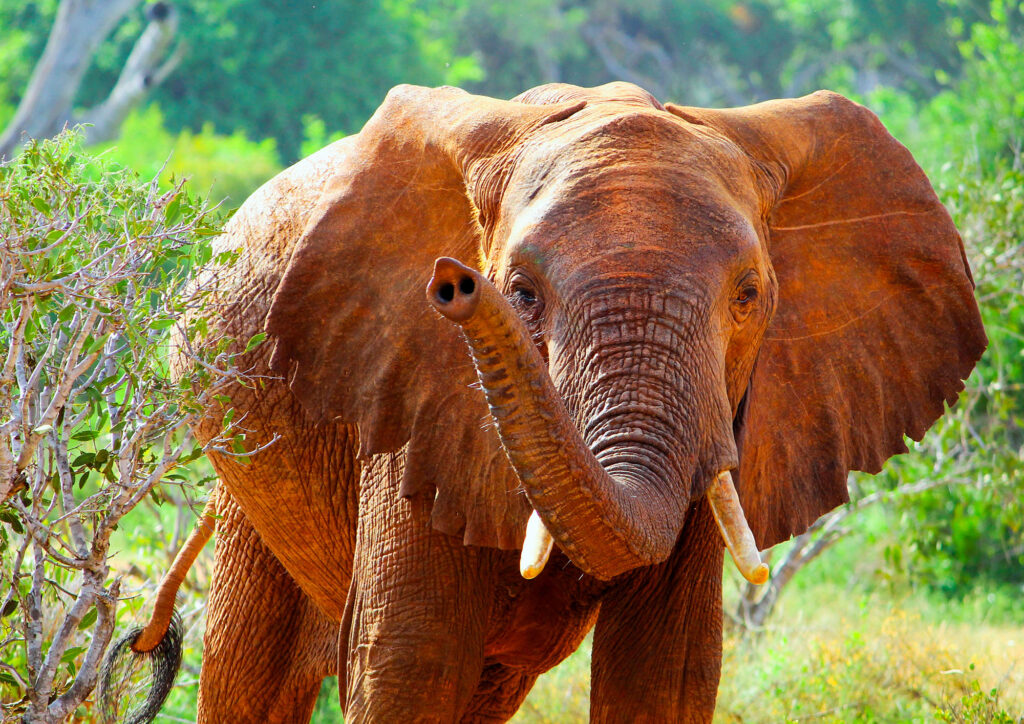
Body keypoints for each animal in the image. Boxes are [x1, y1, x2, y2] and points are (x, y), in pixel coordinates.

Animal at [101, 81, 986, 723]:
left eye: (750, 296)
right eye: (520, 292)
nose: (455, 282)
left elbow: (664, 672)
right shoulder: (407, 392)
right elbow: (408, 660)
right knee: (257, 671)